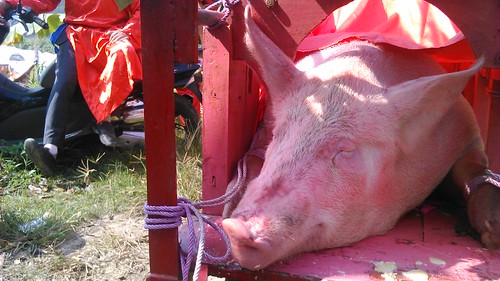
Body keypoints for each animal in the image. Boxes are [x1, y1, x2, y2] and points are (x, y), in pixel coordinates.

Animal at [222, 6, 500, 270]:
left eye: (345, 150)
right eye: (279, 133)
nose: (235, 229)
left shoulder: (466, 129)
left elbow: (473, 166)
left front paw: (492, 233)